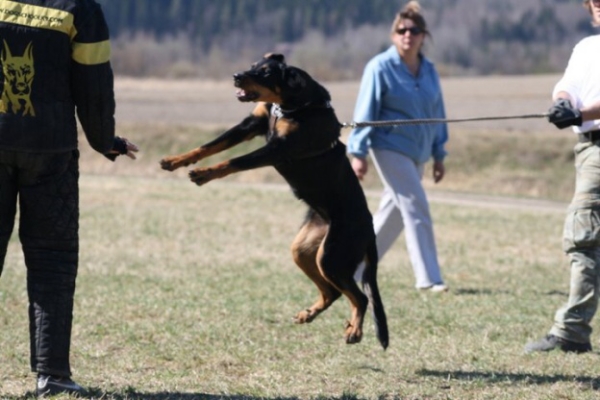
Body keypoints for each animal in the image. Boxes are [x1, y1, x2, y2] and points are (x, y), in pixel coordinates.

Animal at [159, 54, 390, 350]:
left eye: (267, 73)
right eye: (254, 65)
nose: (236, 76)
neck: (292, 106)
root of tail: (370, 229)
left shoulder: (278, 149)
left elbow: (232, 162)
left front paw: (204, 174)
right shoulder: (251, 125)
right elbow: (209, 146)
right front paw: (175, 160)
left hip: (332, 255)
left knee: (359, 297)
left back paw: (355, 331)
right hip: (304, 249)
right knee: (333, 292)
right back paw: (309, 314)